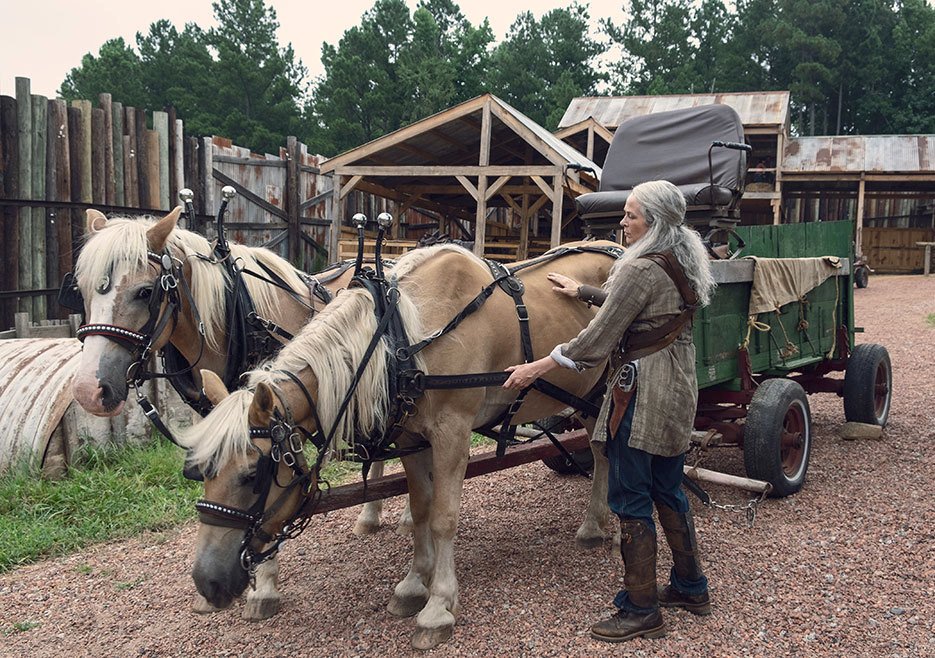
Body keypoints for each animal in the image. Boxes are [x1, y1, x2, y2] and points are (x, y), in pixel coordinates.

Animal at [181, 240, 620, 644]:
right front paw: (413, 584)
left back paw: (598, 525)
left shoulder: (452, 433)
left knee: (606, 453)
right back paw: (597, 522)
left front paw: (438, 606)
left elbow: (444, 517)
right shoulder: (413, 436)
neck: (406, 336)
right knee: (601, 452)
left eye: (252, 475)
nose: (207, 582)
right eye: (200, 471)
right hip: (588, 394)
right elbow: (421, 509)